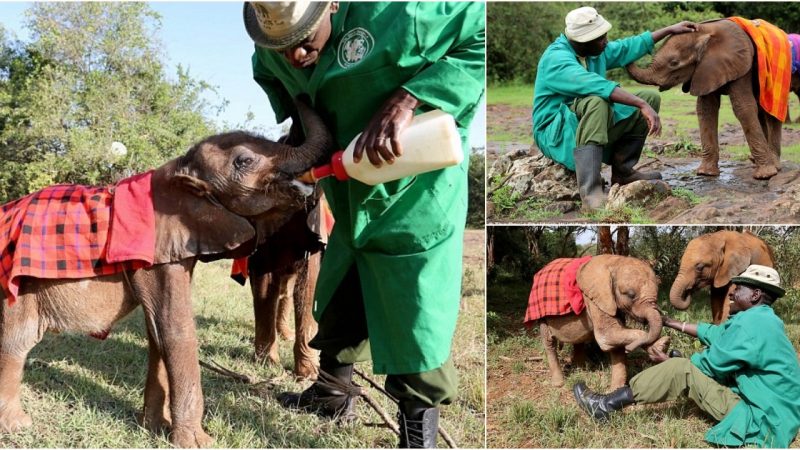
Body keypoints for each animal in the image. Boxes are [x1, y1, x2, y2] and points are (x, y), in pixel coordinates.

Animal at [524, 256, 668, 390]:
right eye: (630, 295)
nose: (630, 349)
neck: (615, 261)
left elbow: (615, 341)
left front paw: (615, 390)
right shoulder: (595, 299)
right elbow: (607, 336)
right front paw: (661, 344)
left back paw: (580, 369)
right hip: (541, 313)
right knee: (549, 343)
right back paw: (559, 384)